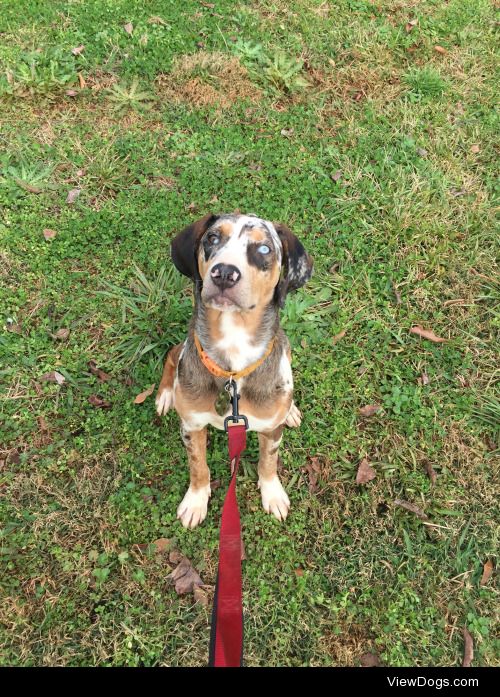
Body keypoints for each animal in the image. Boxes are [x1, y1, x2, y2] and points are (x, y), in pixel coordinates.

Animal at [156, 212, 312, 528]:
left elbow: (268, 461)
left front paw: (272, 494)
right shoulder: (192, 426)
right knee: (171, 354)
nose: (225, 273)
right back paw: (165, 395)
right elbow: (198, 466)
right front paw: (195, 501)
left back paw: (290, 410)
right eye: (212, 238)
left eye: (264, 248)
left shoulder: (271, 431)